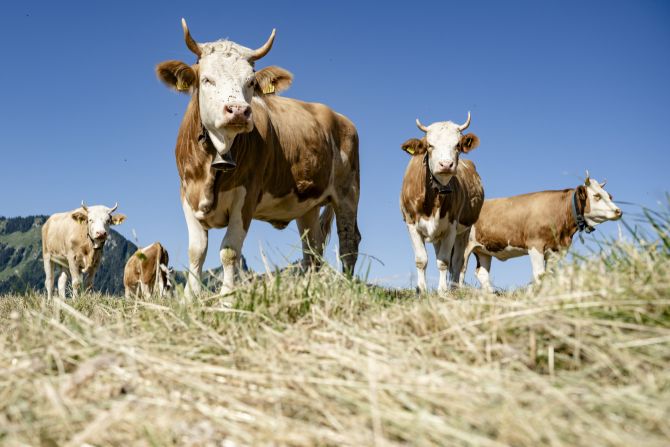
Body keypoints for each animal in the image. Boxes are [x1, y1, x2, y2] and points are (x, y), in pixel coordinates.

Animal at [156, 19, 360, 298]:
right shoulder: (187, 194)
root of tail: (336, 115)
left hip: (348, 192)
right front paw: (189, 298)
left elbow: (229, 251)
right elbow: (196, 252)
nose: (238, 111)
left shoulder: (247, 196)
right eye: (206, 79)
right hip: (307, 205)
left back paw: (349, 287)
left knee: (349, 242)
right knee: (313, 249)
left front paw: (226, 298)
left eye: (251, 82)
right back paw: (309, 290)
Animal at [400, 112, 484, 294]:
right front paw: (421, 290)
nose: (446, 164)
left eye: (457, 145)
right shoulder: (411, 224)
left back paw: (454, 288)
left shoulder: (451, 227)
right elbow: (421, 260)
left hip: (464, 230)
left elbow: (444, 261)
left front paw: (443, 290)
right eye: (429, 145)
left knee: (458, 262)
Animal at [460, 173, 622, 291]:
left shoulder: (557, 249)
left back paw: (491, 294)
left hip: (483, 250)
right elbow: (539, 274)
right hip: (465, 246)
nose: (618, 211)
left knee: (482, 273)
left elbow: (549, 275)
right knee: (461, 268)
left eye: (610, 196)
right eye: (597, 196)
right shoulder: (535, 245)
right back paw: (459, 292)